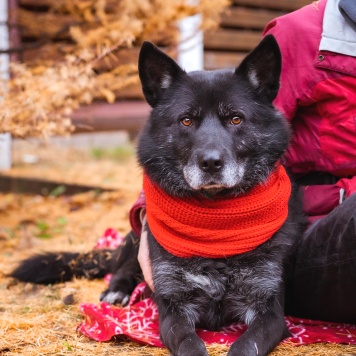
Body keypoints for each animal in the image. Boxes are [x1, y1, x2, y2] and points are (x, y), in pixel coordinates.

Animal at [11, 36, 306, 356]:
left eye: (236, 119)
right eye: (186, 121)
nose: (211, 163)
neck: (216, 226)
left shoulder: (269, 312)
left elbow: (246, 344)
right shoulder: (173, 309)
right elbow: (189, 342)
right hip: (138, 232)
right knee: (122, 265)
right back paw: (117, 289)